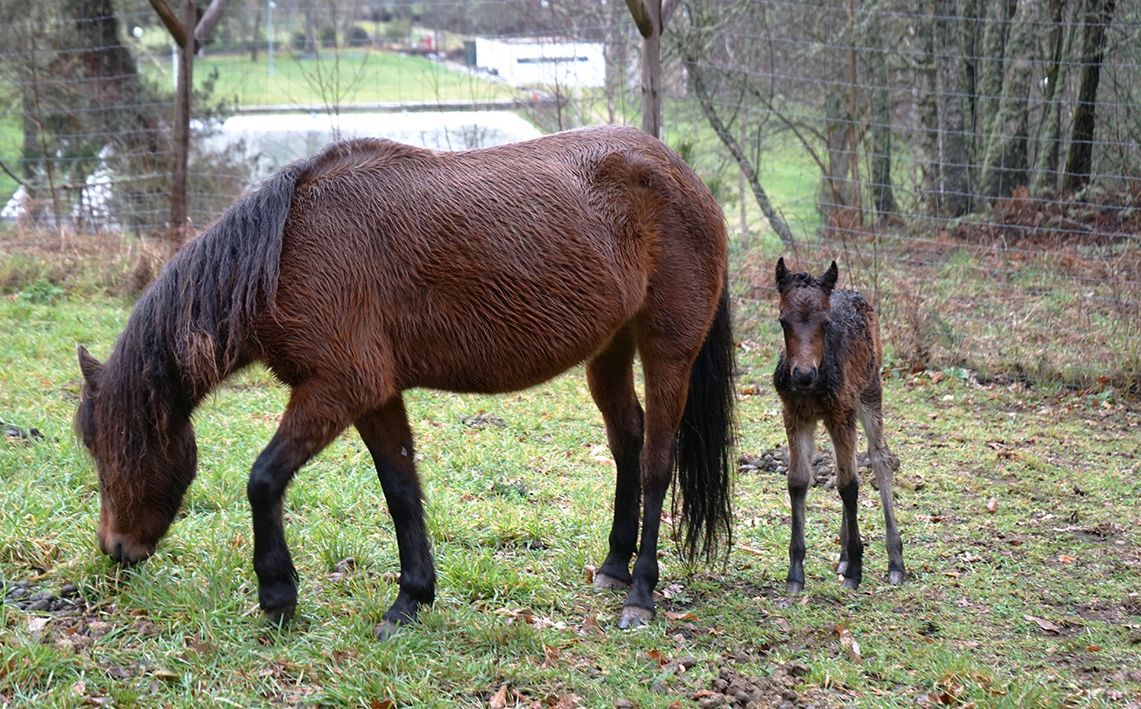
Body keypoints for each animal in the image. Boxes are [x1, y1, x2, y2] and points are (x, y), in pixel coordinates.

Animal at [75, 125, 734, 634]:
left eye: (119, 446)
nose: (116, 550)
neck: (289, 248)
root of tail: (679, 171)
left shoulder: (338, 388)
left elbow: (262, 479)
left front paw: (279, 596)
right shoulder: (375, 396)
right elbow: (400, 489)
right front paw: (411, 599)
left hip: (667, 353)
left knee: (655, 463)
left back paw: (640, 595)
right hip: (608, 353)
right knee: (627, 443)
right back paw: (614, 567)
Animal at [771, 258, 903, 593]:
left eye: (826, 323)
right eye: (783, 321)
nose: (803, 374)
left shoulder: (840, 413)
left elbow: (849, 485)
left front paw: (856, 569)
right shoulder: (795, 414)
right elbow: (798, 481)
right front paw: (795, 572)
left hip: (869, 392)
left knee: (880, 458)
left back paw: (895, 562)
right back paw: (843, 556)